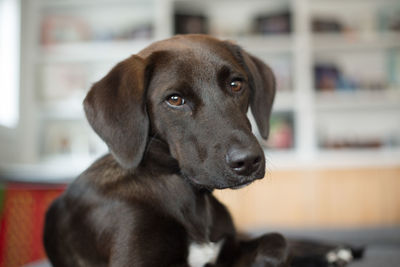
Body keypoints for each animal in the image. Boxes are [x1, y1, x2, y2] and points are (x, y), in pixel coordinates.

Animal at [43, 34, 362, 266]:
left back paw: (341, 249)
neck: (188, 195)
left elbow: (277, 241)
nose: (248, 161)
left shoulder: (230, 247)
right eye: (174, 100)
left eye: (236, 84)